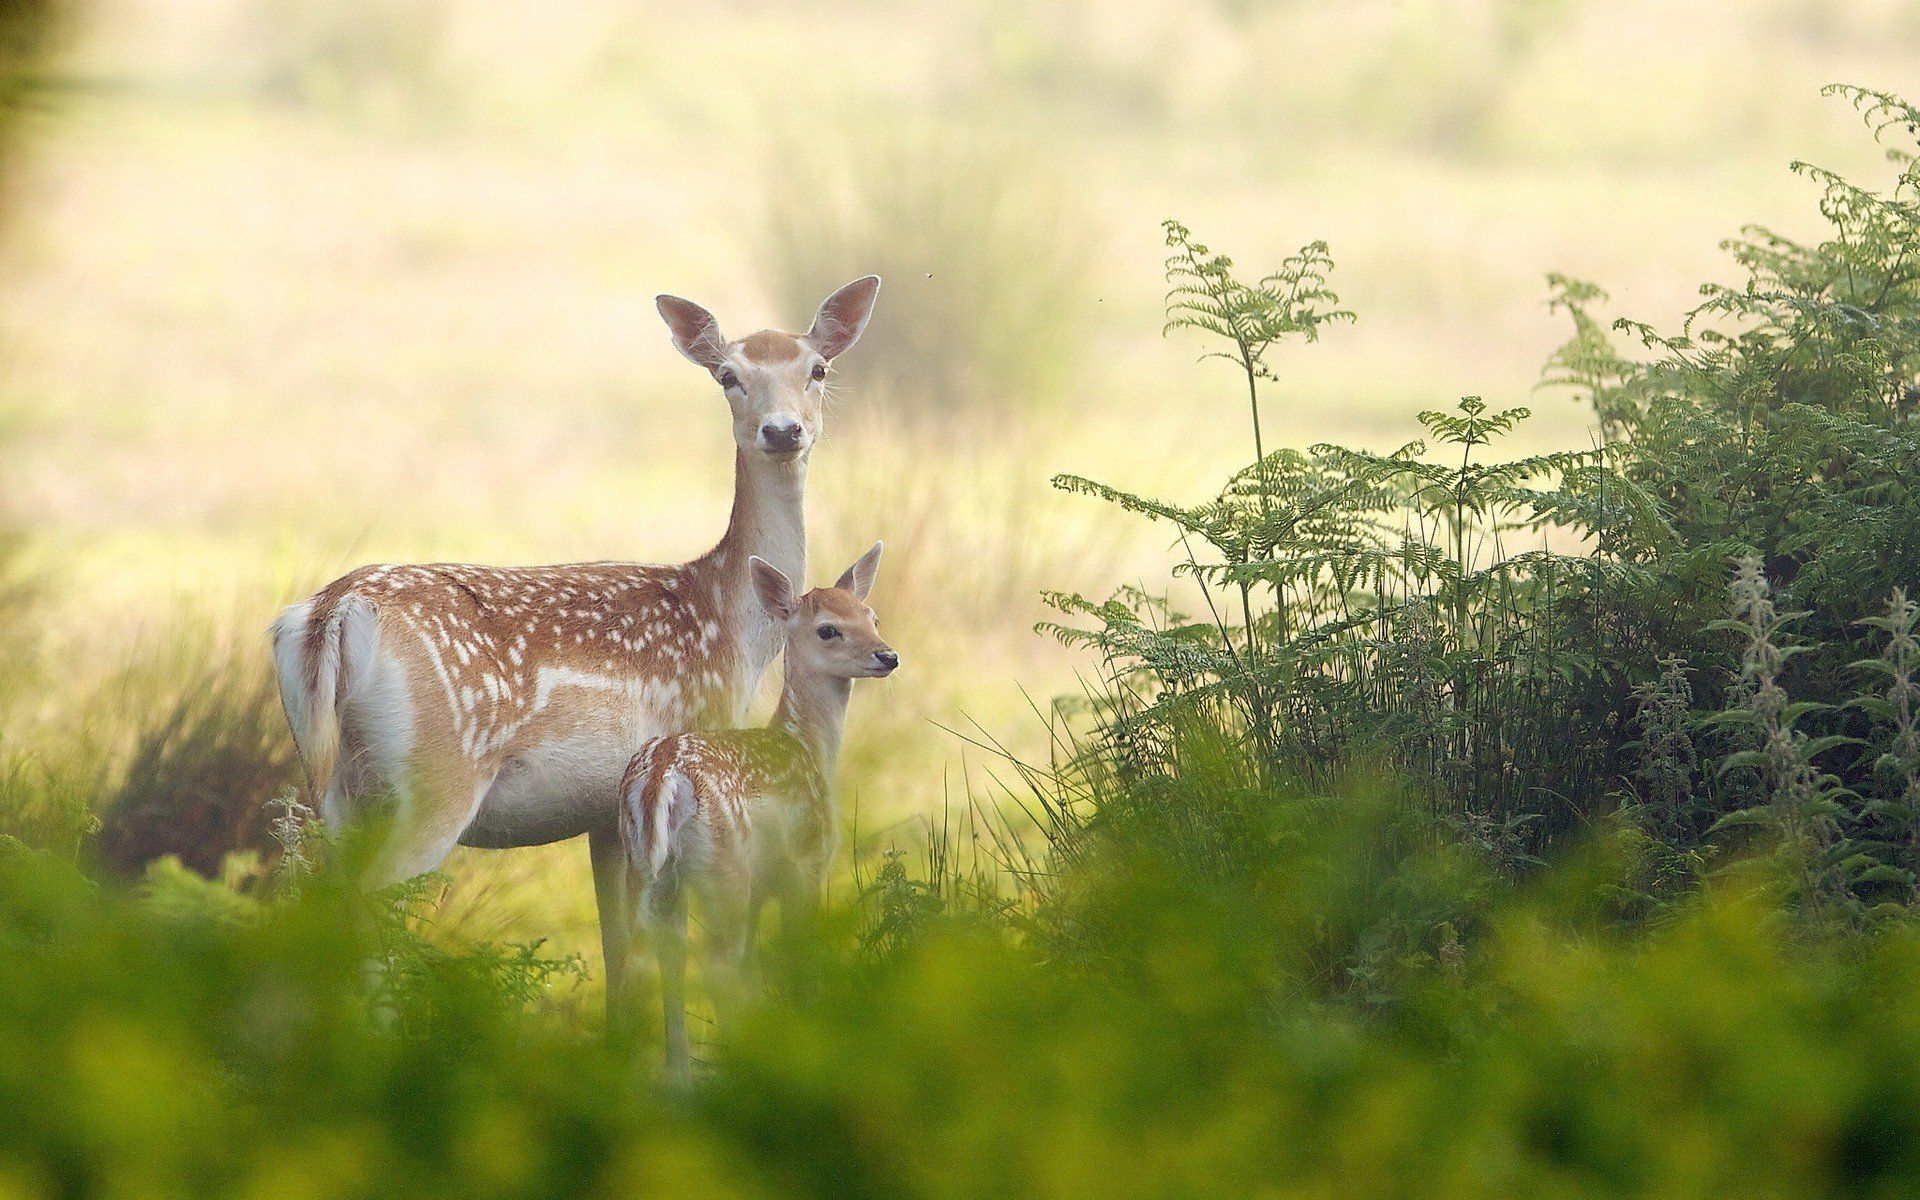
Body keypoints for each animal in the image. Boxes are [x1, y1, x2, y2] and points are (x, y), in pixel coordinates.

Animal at [270, 276, 883, 1006]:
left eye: (817, 369)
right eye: (728, 375)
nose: (783, 430)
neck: (732, 625)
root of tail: (332, 612)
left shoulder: (604, 815)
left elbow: (619, 958)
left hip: (339, 786)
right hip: (433, 776)